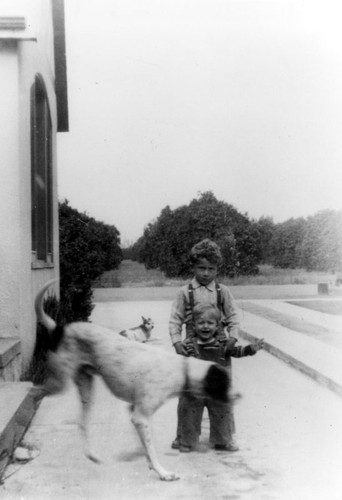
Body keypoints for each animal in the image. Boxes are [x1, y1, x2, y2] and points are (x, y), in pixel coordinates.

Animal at [34, 282, 231, 480]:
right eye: (223, 383)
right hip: (60, 383)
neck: (181, 369)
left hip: (86, 390)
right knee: (36, 392)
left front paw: (150, 464)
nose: (236, 396)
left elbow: (146, 445)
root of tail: (60, 329)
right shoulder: (140, 417)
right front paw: (162, 472)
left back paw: (91, 455)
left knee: (81, 423)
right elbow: (150, 448)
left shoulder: (135, 411)